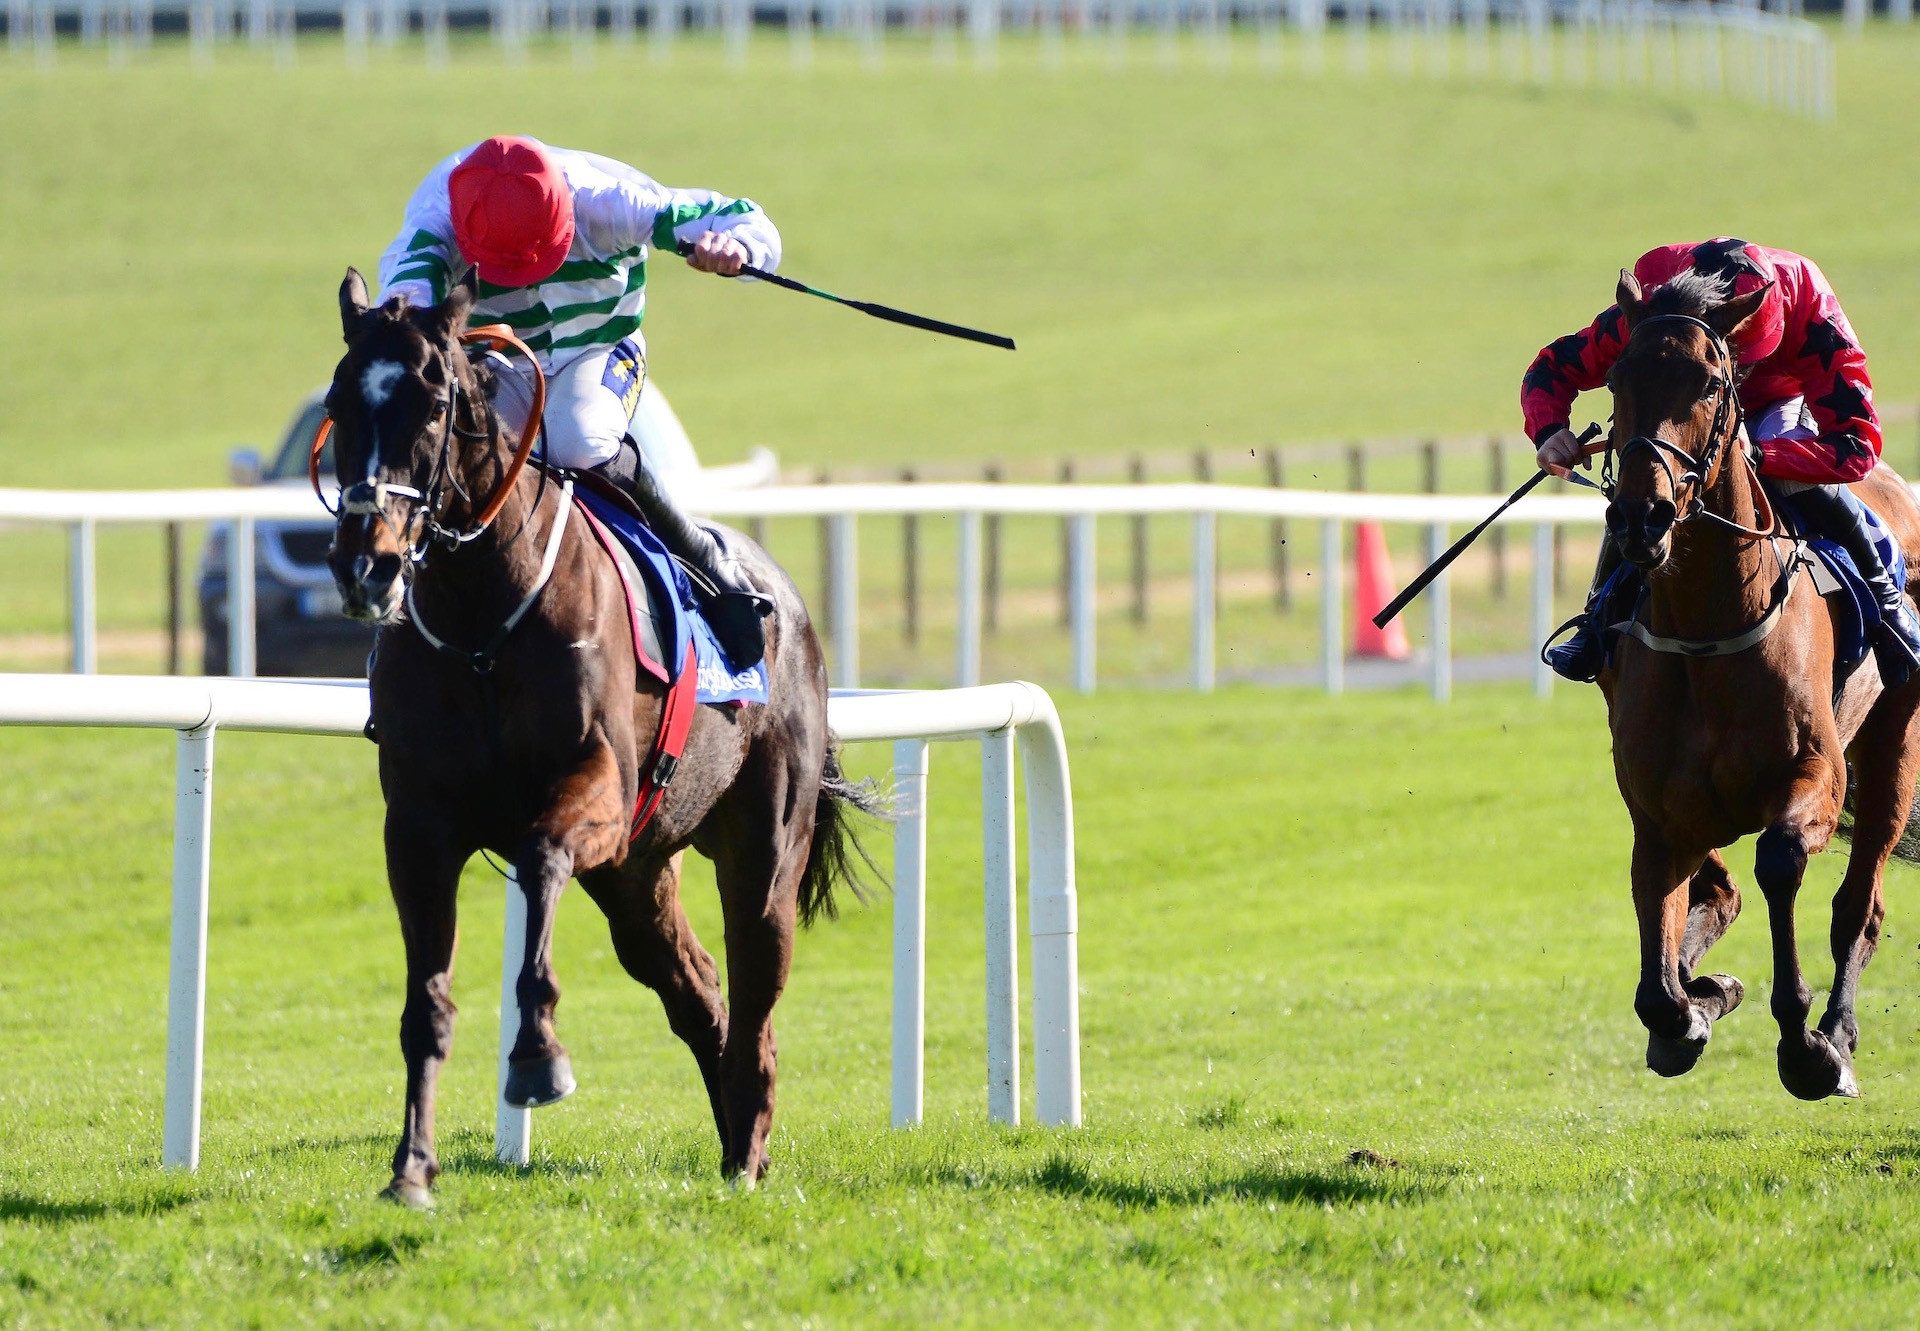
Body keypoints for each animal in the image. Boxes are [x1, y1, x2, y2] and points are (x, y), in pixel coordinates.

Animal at [320, 272, 879, 1206]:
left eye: (432, 405)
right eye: (338, 402)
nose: (367, 564)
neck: (482, 619)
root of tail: (789, 603)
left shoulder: (599, 791)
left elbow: (542, 858)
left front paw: (538, 1056)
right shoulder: (421, 826)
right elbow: (425, 999)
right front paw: (412, 1168)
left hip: (761, 850)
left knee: (755, 1003)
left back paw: (749, 1155)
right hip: (636, 874)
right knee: (701, 996)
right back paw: (733, 1146)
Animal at [1597, 265, 1920, 1098]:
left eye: (1711, 382)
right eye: (1617, 377)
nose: (1643, 516)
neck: (1709, 630)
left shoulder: (1816, 776)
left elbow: (1779, 862)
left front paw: (1804, 1042)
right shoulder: (1657, 810)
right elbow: (1658, 982)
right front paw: (1696, 1003)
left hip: (1894, 743)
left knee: (1860, 903)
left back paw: (1837, 1032)